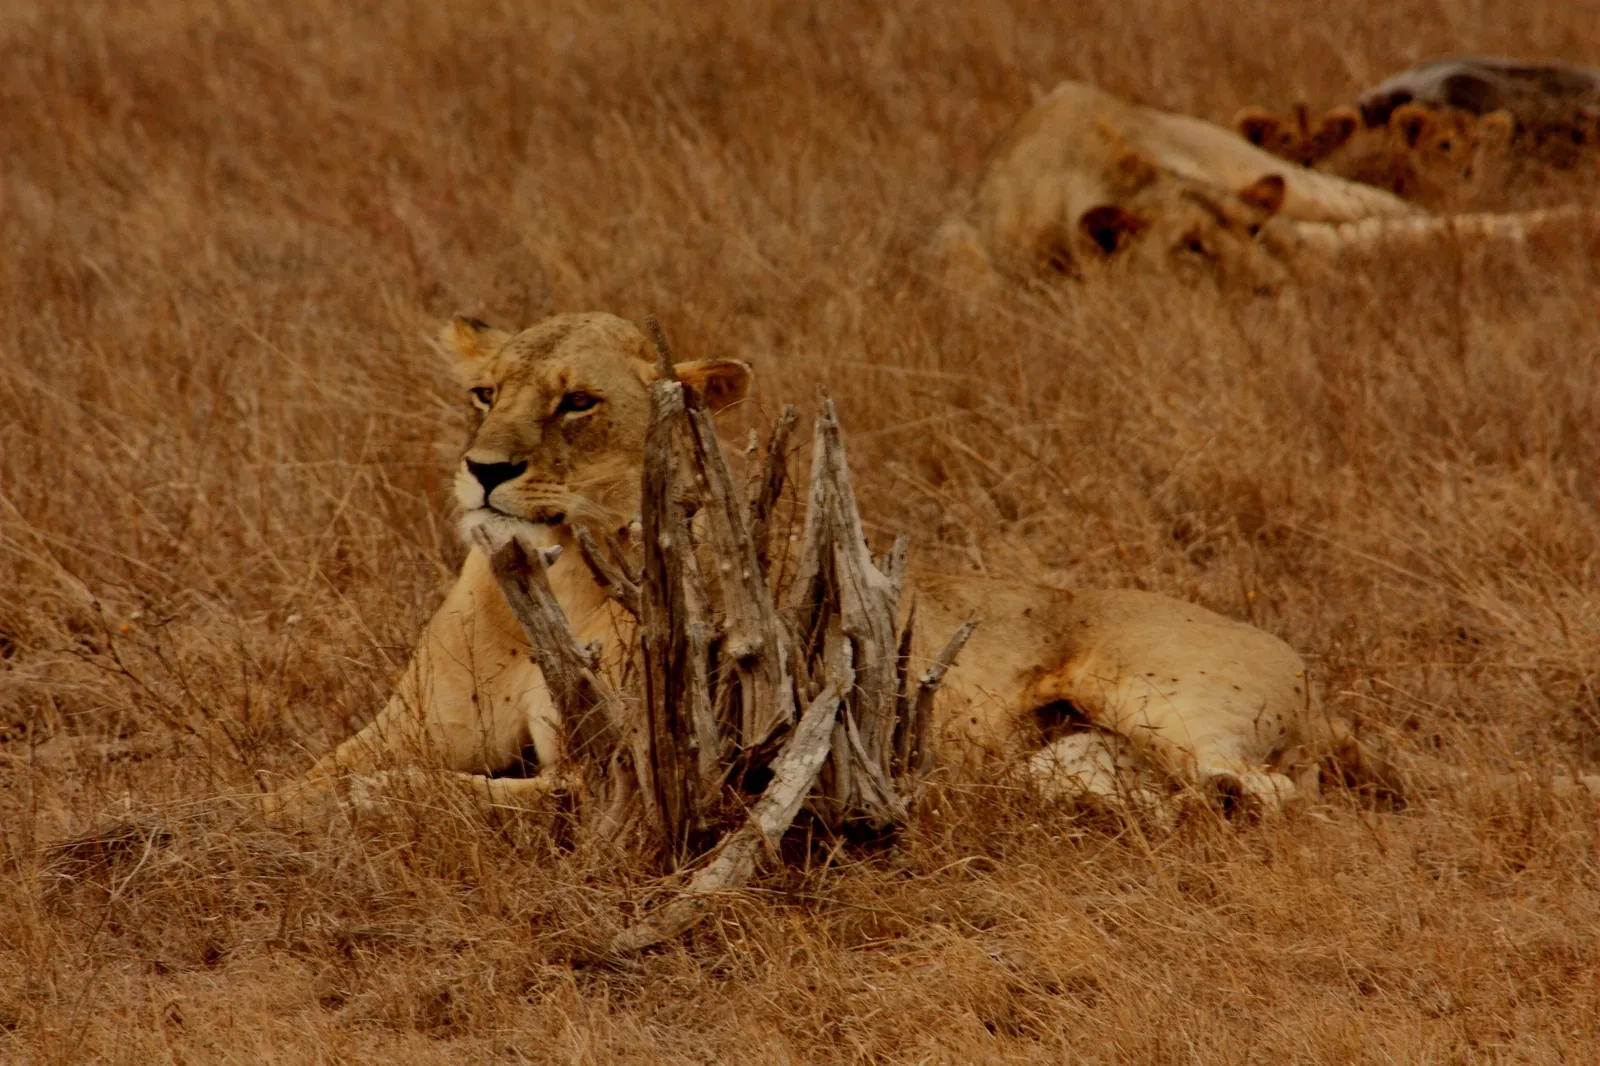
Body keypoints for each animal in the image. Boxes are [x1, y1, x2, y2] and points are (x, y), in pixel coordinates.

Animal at [265, 310, 1396, 823]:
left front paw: (350, 812)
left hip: (1162, 697)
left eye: (577, 402)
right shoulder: (401, 725)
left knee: (1270, 793)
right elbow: (307, 775)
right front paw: (243, 811)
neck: (554, 577)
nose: (484, 471)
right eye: (482, 393)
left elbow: (437, 792)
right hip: (1074, 755)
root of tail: (1314, 676)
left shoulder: (617, 776)